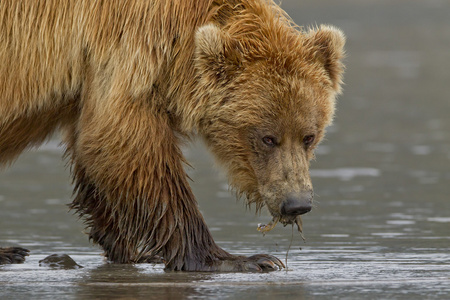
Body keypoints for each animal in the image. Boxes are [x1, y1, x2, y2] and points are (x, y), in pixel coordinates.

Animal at [0, 0, 344, 272]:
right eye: (267, 138)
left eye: (309, 136)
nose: (296, 203)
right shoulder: (128, 49)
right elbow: (127, 145)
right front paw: (240, 259)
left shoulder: (89, 82)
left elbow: (94, 152)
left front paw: (131, 250)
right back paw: (10, 251)